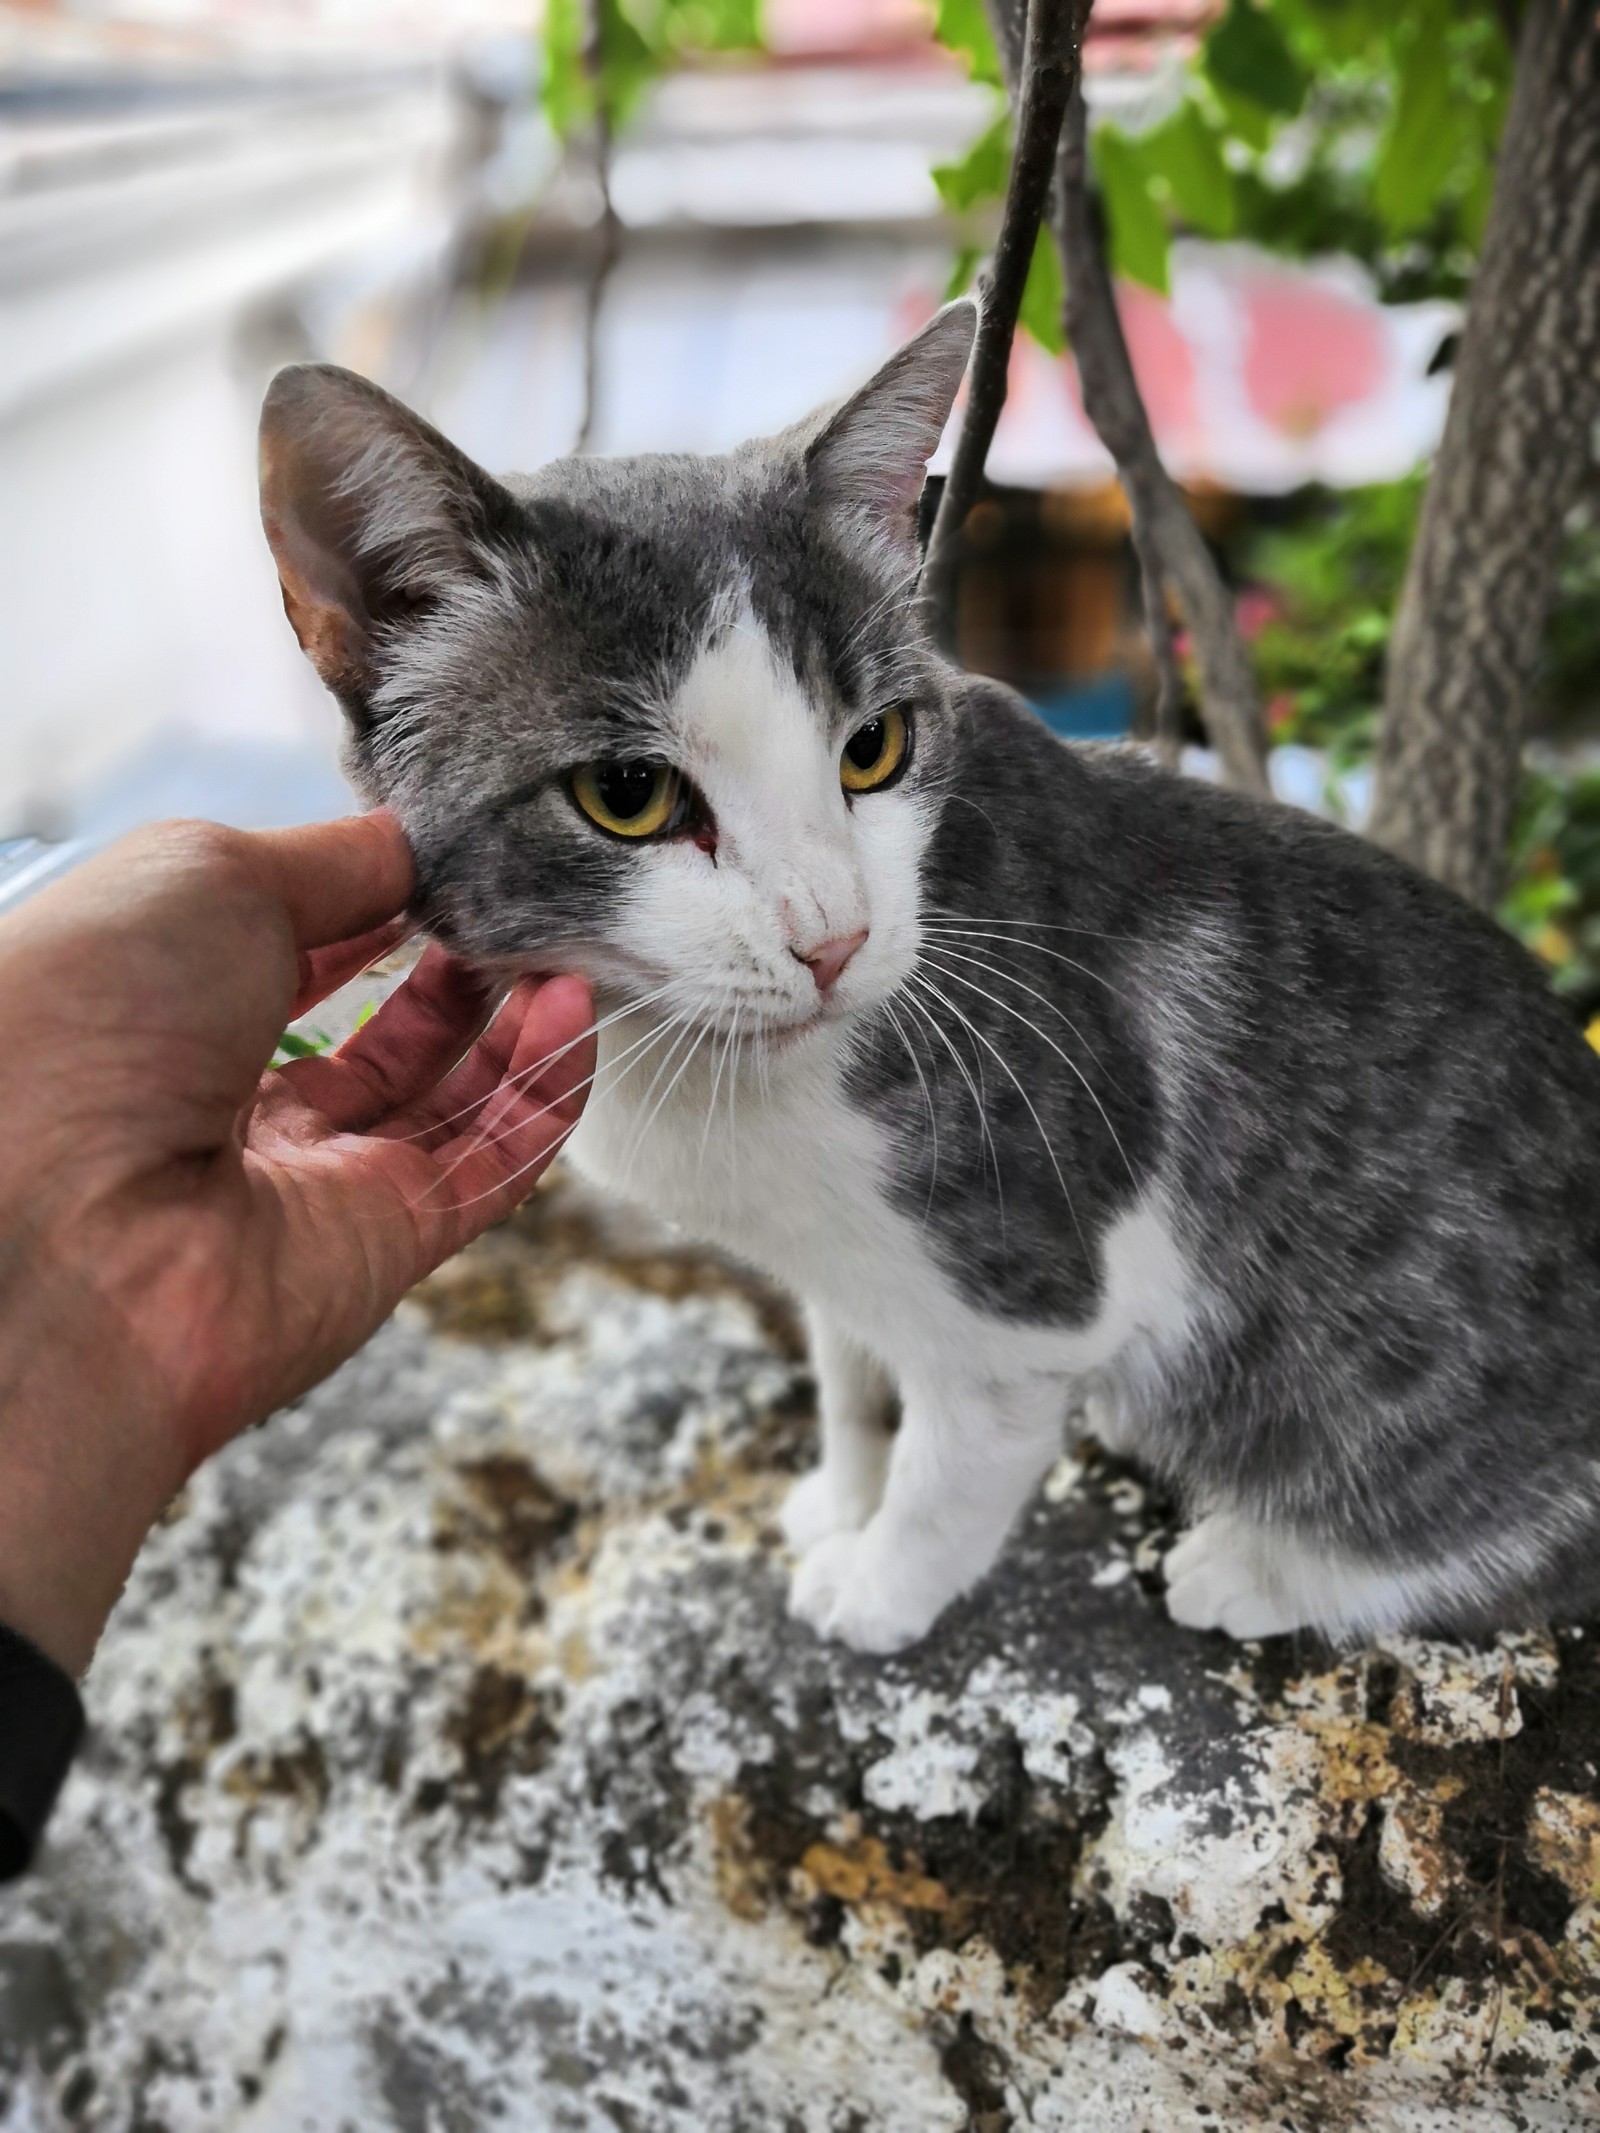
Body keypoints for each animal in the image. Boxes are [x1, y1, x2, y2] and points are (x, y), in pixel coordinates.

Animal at [257, 300, 1600, 1655]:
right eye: (625, 794)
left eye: (875, 748)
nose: (835, 938)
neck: (706, 1066)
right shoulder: (841, 1263)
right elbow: (852, 1370)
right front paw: (839, 1495)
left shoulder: (1029, 1276)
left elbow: (960, 1458)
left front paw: (876, 1584)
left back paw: (1258, 1568)